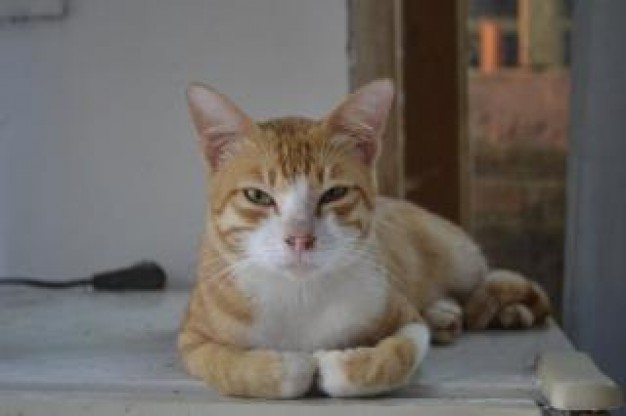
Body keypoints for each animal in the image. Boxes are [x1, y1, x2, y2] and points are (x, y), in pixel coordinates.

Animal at [178, 79, 548, 400]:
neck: (299, 294)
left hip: (459, 260)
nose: (300, 238)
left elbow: (398, 353)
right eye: (257, 196)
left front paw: (340, 366)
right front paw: (287, 366)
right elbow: (228, 365)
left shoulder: (405, 317)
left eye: (334, 193)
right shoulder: (191, 337)